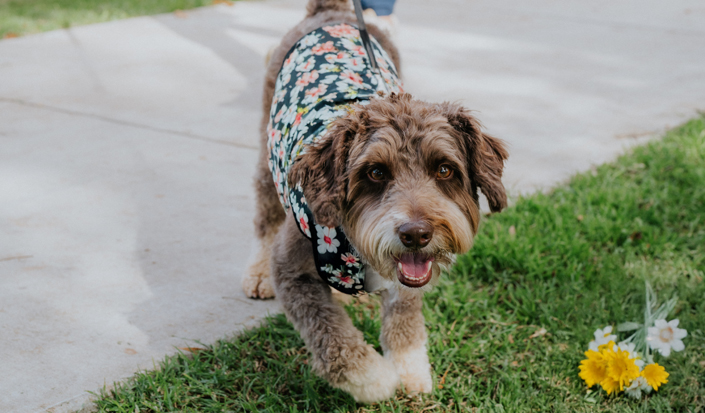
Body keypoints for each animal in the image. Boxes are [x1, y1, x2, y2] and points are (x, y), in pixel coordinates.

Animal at [241, 0, 508, 403]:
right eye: (376, 173)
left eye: (445, 169)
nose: (416, 234)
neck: (351, 241)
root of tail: (331, 12)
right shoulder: (292, 273)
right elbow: (335, 343)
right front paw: (376, 380)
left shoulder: (407, 276)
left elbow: (405, 324)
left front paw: (411, 372)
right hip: (267, 153)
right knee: (264, 213)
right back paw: (257, 273)